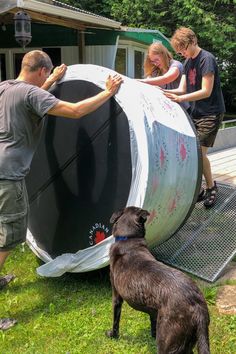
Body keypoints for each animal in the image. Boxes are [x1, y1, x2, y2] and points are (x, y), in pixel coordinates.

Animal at [106, 206, 209, 352]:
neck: (128, 240)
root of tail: (197, 304)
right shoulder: (153, 311)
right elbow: (152, 322)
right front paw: (152, 335)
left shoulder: (116, 297)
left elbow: (116, 320)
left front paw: (112, 335)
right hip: (187, 343)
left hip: (167, 342)